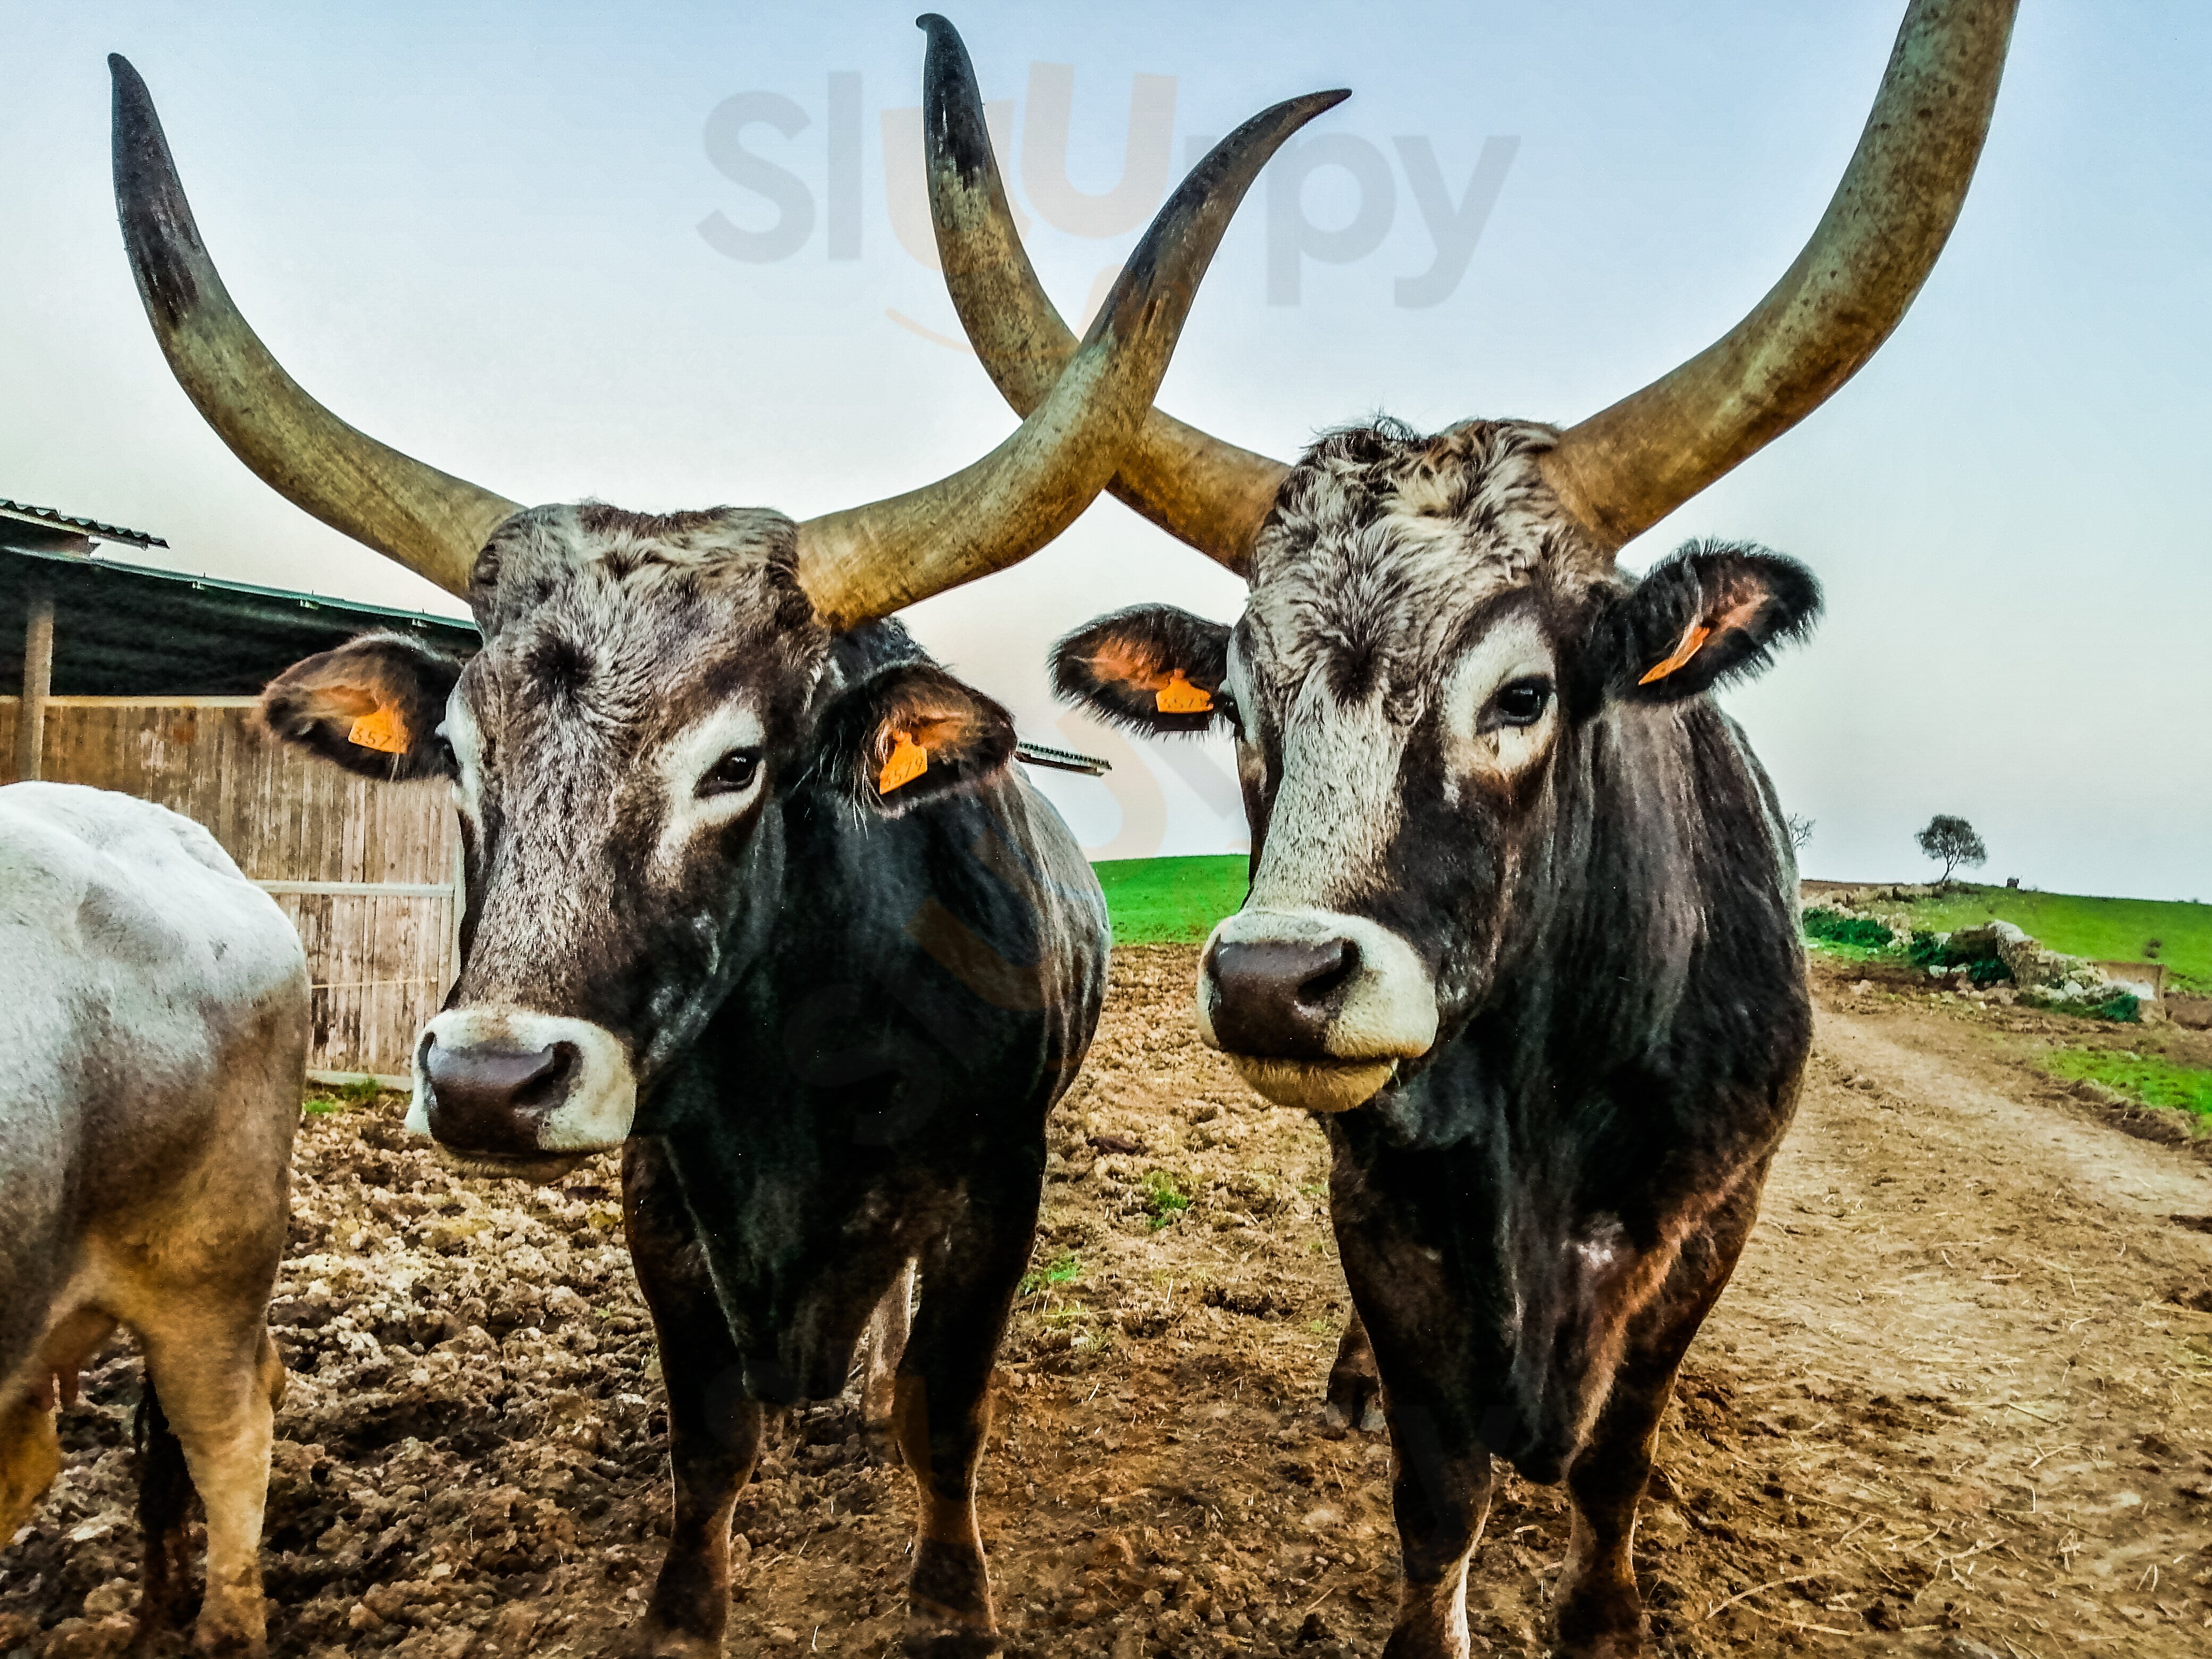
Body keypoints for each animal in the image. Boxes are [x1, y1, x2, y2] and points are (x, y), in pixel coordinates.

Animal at [104, 45, 1336, 1654]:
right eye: (462, 756)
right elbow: (711, 1431)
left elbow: (948, 1409)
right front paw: (687, 1604)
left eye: (737, 764)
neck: (805, 1059)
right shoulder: (662, 1191)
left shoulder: (1002, 1179)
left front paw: (952, 1588)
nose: (491, 1083)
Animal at [916, 3, 2026, 1659]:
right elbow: (1441, 1492)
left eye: (1523, 693)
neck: (1546, 1088)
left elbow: (1619, 1456)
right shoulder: (1390, 1216)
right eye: (1237, 705)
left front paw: (1604, 1609)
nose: (1274, 983)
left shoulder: (1710, 1221)